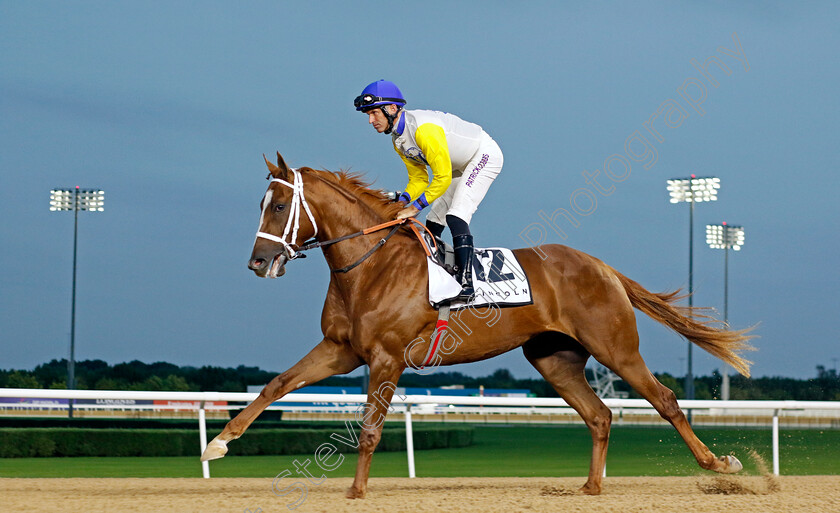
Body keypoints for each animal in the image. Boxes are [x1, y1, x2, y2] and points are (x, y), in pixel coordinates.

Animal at [202, 152, 756, 496]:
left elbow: (370, 429)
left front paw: (356, 490)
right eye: (261, 205)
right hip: (554, 359)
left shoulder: (385, 357)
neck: (369, 264)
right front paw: (218, 443)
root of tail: (600, 265)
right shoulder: (342, 349)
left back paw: (719, 465)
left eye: (278, 205)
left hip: (616, 348)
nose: (257, 262)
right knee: (600, 415)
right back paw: (591, 486)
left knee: (665, 401)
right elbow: (278, 383)